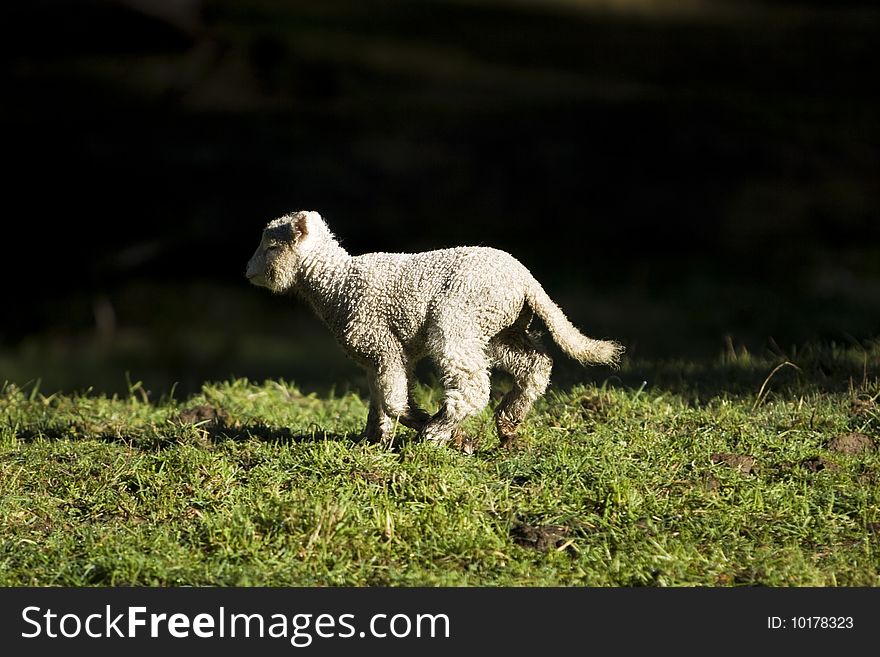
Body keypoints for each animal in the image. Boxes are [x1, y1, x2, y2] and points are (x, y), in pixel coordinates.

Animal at [244, 210, 624, 452]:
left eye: (272, 246)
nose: (248, 272)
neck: (337, 285)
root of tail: (527, 280)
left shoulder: (382, 344)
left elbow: (394, 401)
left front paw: (435, 429)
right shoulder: (377, 356)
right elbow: (379, 399)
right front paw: (372, 440)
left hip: (458, 318)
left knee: (472, 387)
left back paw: (437, 432)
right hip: (498, 330)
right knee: (536, 364)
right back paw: (508, 423)